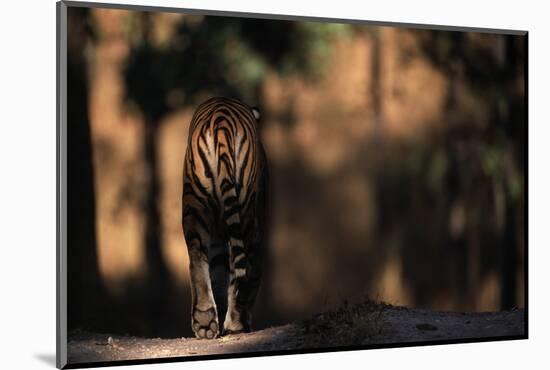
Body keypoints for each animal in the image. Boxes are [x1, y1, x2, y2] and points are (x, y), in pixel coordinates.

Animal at [183, 97, 270, 340]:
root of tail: (221, 121)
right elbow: (251, 272)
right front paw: (237, 321)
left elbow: (219, 273)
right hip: (247, 211)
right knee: (245, 263)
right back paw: (236, 322)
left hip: (194, 203)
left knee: (196, 255)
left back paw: (204, 322)